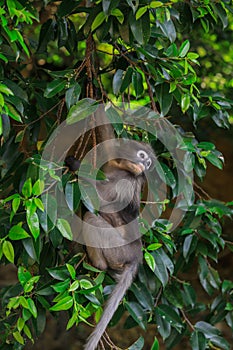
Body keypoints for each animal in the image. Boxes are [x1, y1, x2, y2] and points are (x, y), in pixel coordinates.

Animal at [78, 140, 157, 350]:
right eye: (142, 156)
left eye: (148, 164)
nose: (143, 165)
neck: (123, 168)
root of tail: (137, 256)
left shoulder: (127, 181)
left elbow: (99, 196)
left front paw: (73, 164)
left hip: (117, 249)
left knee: (92, 218)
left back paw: (96, 264)